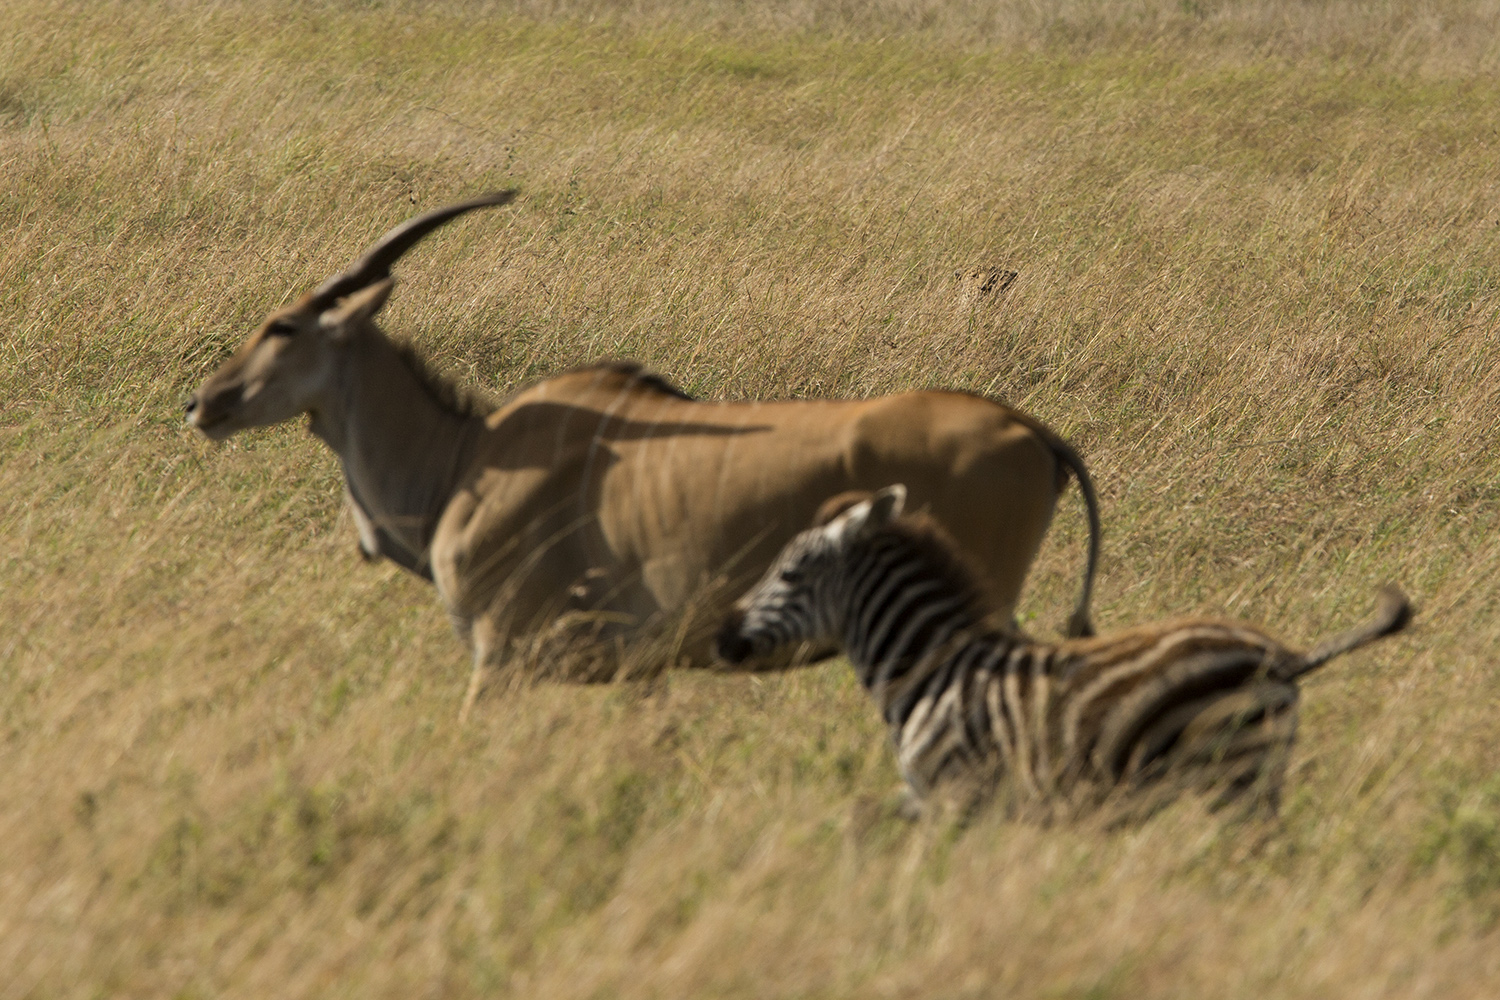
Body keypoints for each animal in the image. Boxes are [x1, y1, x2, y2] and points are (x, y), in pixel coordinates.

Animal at [711, 488, 1404, 815]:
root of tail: (1281, 654)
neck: (934, 671)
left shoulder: (954, 794)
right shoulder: (935, 798)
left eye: (789, 573)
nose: (720, 636)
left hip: (1232, 777)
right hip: (1253, 778)